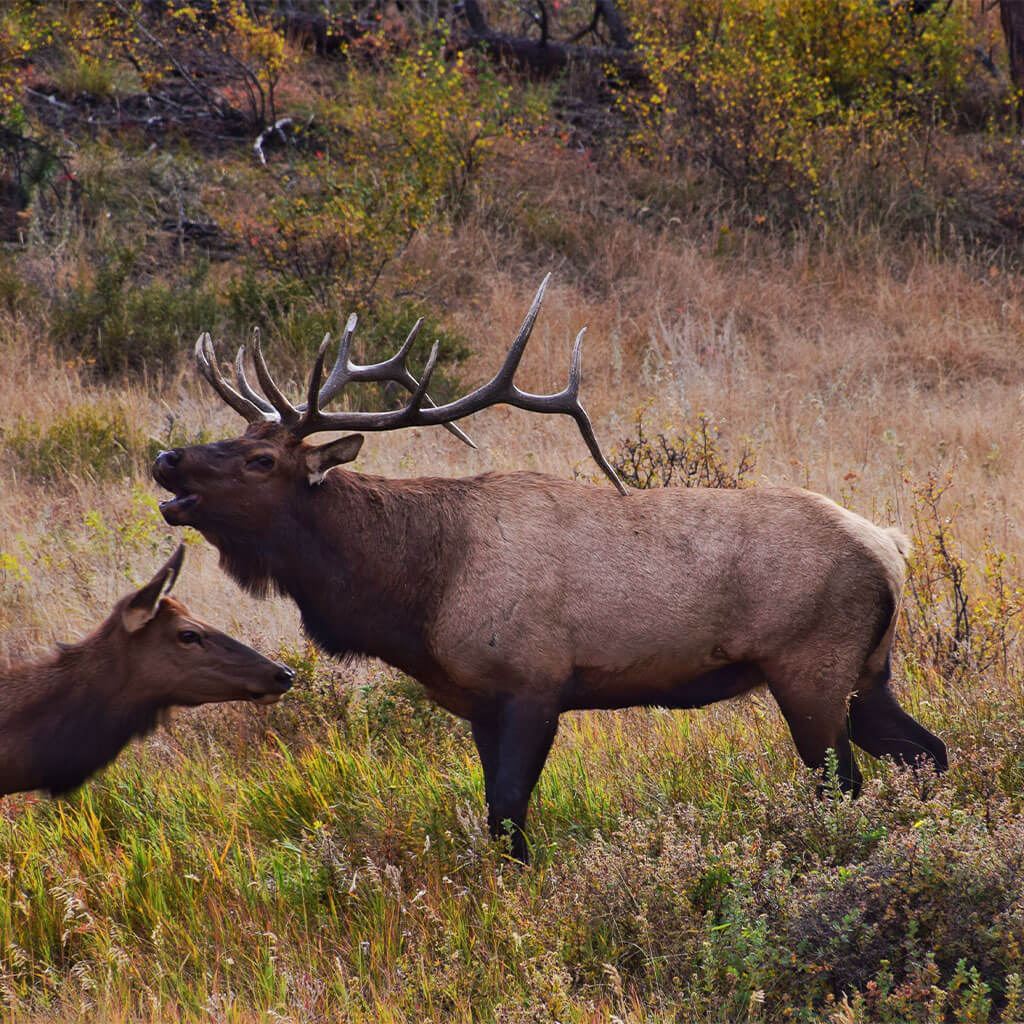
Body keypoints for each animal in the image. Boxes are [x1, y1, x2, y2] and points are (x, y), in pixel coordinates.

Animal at [153, 276, 947, 861]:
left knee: (845, 782)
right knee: (926, 753)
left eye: (261, 459)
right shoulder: (479, 701)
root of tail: (891, 547)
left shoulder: (532, 683)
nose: (166, 459)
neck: (420, 592)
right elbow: (495, 813)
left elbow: (509, 816)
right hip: (868, 670)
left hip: (810, 666)